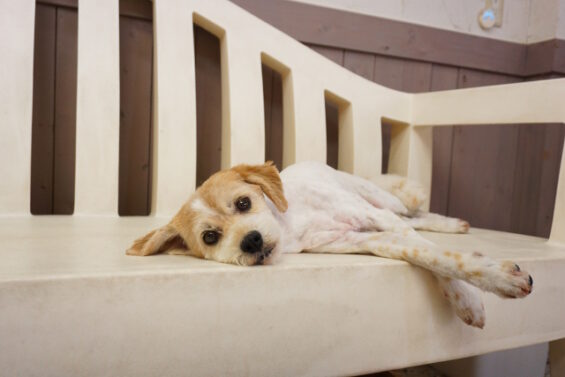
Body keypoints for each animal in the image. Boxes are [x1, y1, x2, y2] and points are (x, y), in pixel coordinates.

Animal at [125, 160, 532, 328]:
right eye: (210, 237)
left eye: (243, 203)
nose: (251, 241)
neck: (293, 224)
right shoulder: (367, 239)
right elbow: (428, 255)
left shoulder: (378, 220)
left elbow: (436, 254)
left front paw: (475, 294)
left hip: (381, 200)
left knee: (412, 213)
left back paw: (450, 223)